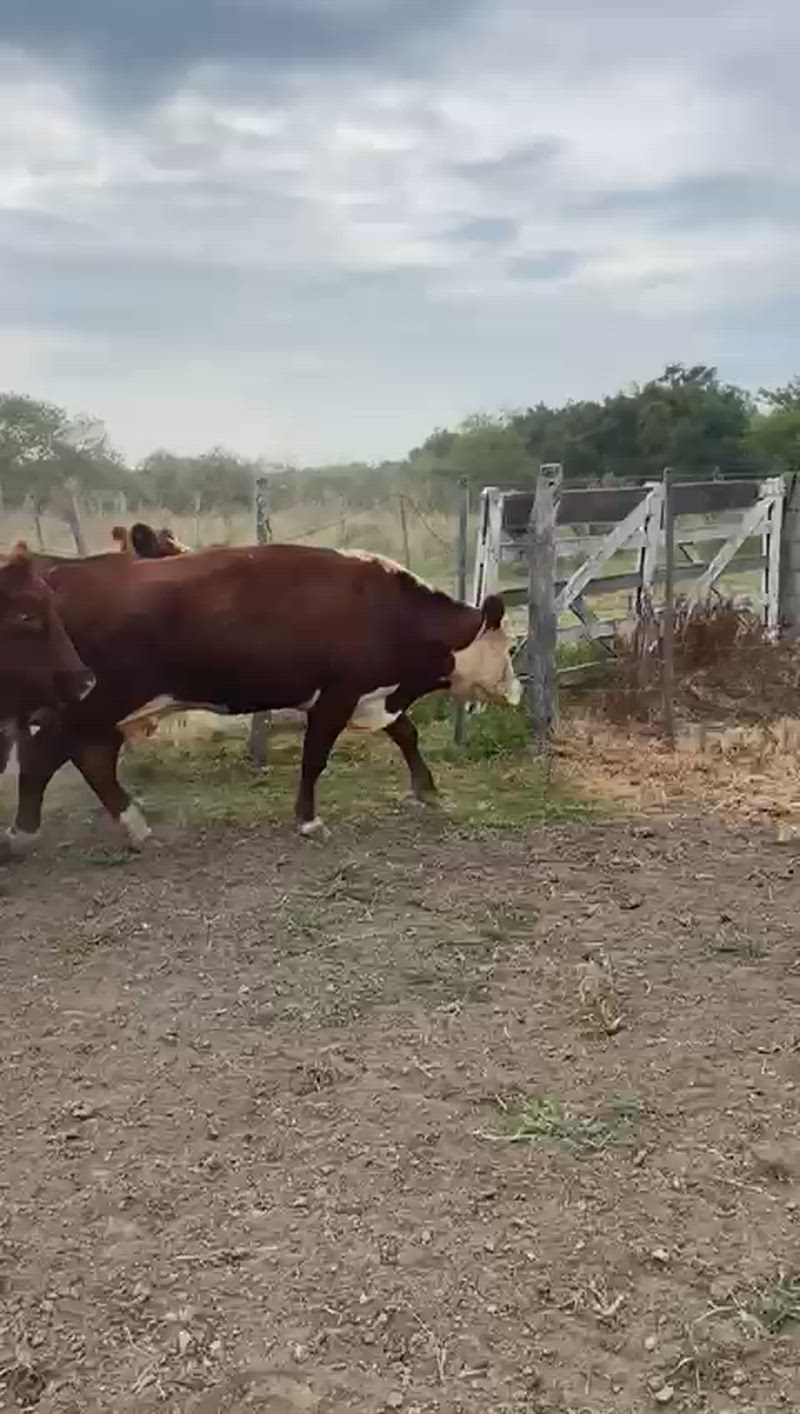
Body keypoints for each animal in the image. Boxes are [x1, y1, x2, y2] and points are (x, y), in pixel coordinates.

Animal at [4, 544, 520, 850]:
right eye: (510, 647)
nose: (517, 690)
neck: (387, 609)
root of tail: (67, 573)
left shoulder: (375, 696)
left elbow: (408, 734)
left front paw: (427, 790)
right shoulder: (335, 696)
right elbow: (315, 758)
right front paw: (308, 820)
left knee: (89, 758)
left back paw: (134, 824)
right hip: (94, 700)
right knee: (45, 754)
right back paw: (23, 832)